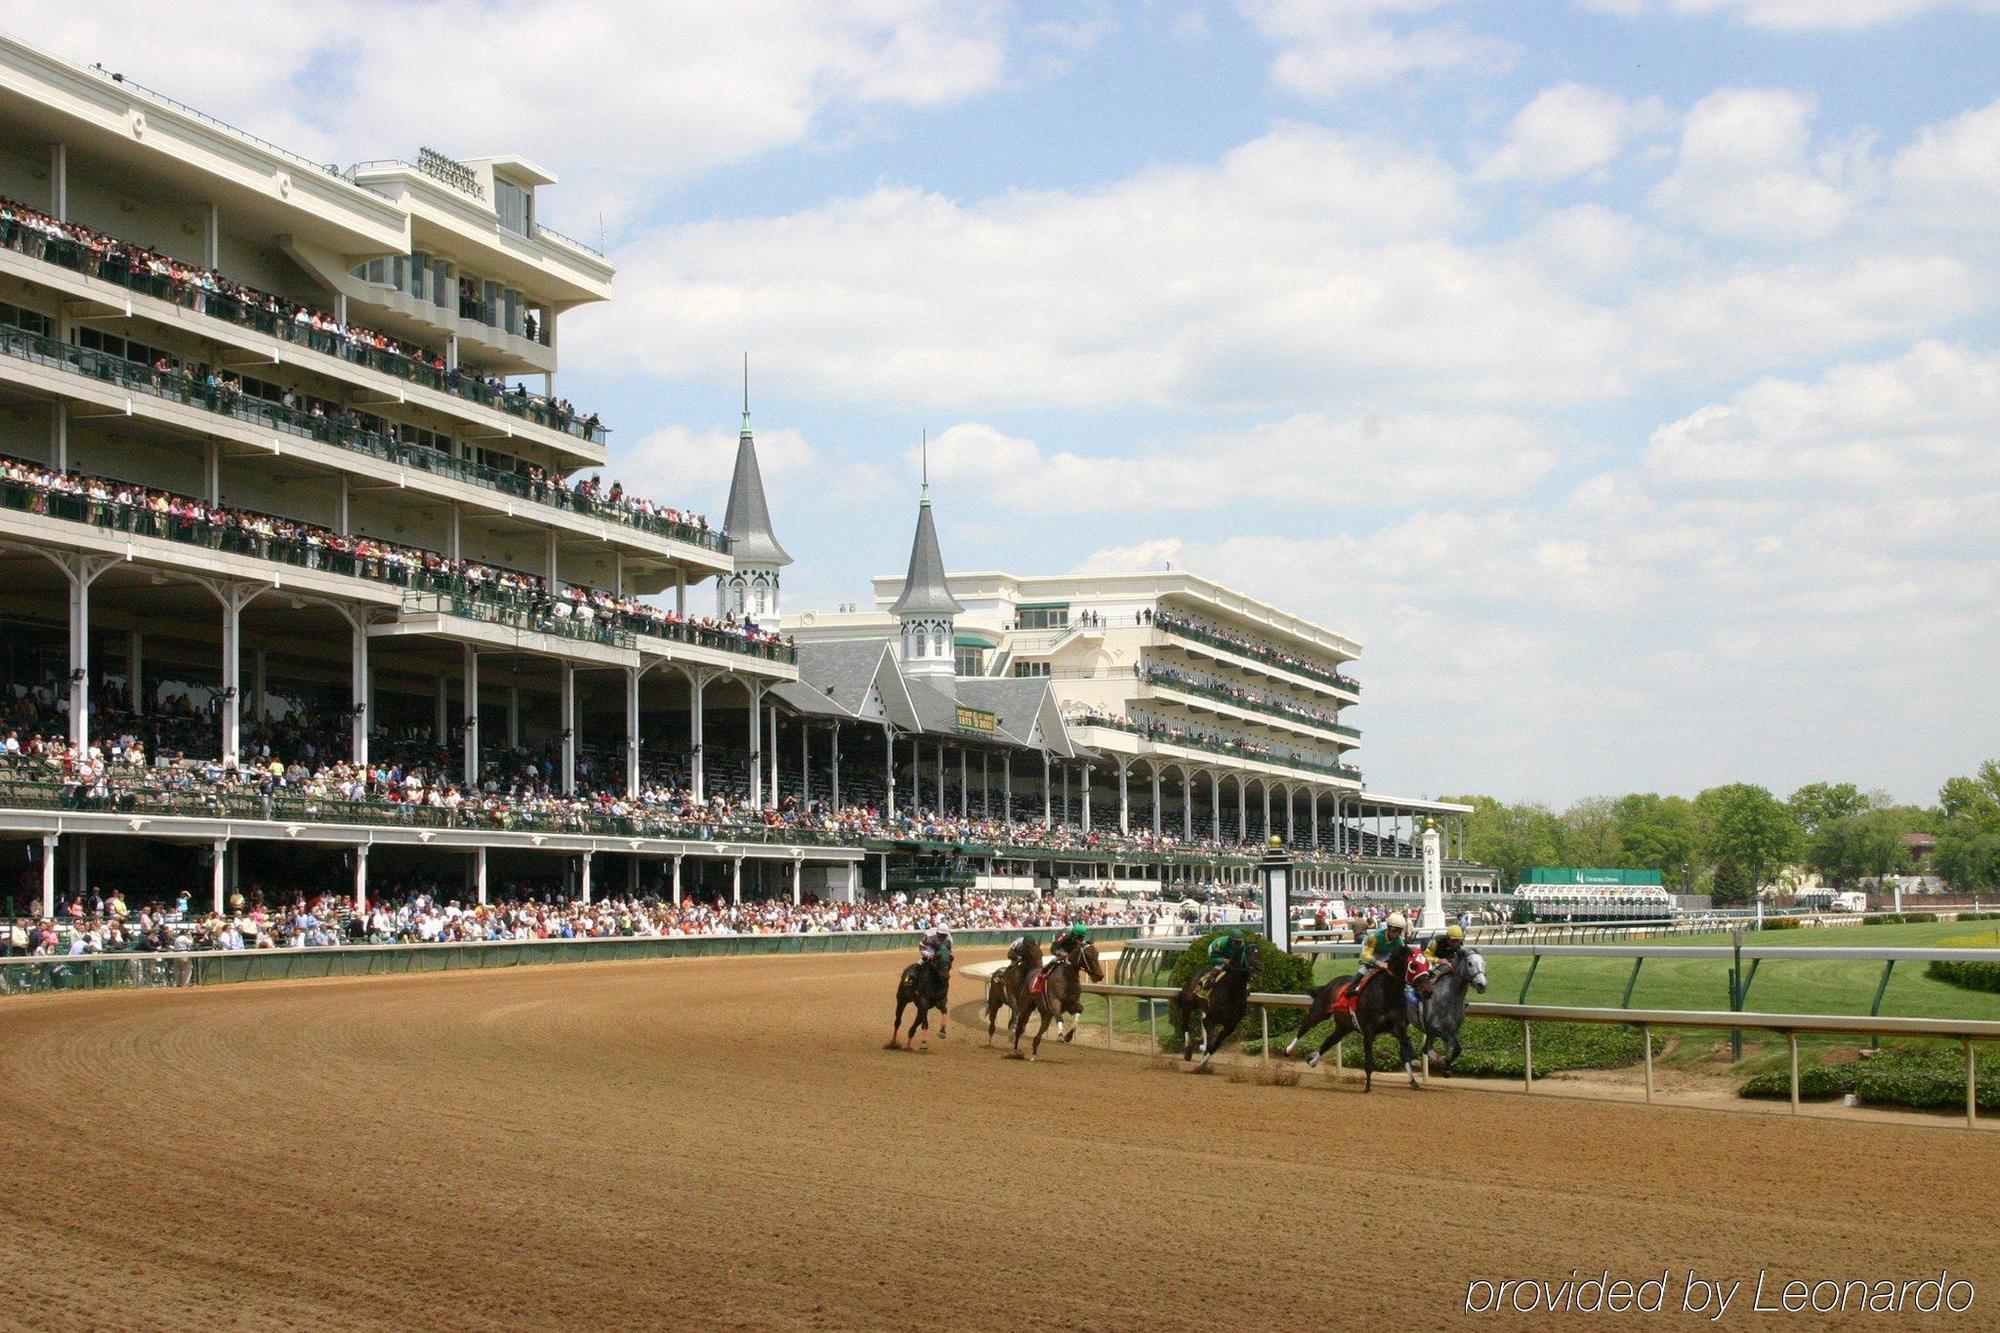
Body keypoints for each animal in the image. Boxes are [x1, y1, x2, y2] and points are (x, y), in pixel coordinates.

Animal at [1168, 944, 1256, 1072]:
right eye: (1249, 954)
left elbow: (1214, 1046)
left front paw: (1203, 1063)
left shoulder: (1231, 1025)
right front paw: (1201, 1063)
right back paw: (1187, 1052)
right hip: (1188, 1004)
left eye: (1259, 954)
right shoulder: (1209, 1019)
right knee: (1185, 1026)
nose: (1259, 968)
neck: (1231, 992)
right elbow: (1210, 1044)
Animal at [1288, 948, 1432, 1088]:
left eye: (1427, 964)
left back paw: (1312, 1061)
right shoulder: (1369, 1031)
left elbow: (1405, 1048)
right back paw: (1288, 1049)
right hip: (1318, 1012)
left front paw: (1414, 1074)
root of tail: (1328, 984)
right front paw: (1367, 1087)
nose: (1428, 991)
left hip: (1344, 1026)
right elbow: (1369, 1062)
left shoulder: (1398, 1027)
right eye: (1413, 965)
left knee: (1329, 1041)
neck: (1387, 993)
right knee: (1304, 1027)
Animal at [1408, 944, 1488, 1072]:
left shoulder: (1454, 1029)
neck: (1448, 998)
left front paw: (1446, 1064)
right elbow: (1447, 1042)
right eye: (1470, 963)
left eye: (1483, 963)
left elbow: (1457, 1049)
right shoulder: (1434, 1028)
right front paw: (1443, 1062)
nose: (1482, 985)